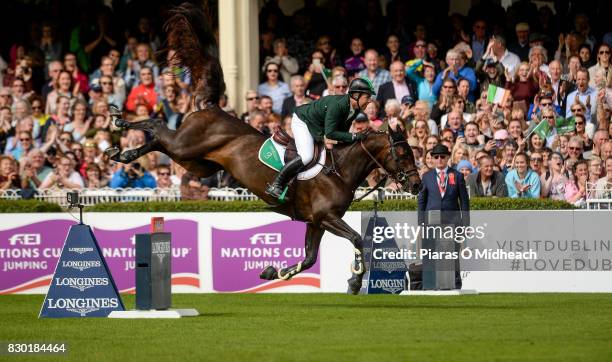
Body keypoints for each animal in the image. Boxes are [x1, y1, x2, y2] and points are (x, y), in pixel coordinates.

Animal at [104, 3, 420, 294]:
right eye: (404, 154)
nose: (417, 186)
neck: (340, 171)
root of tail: (212, 107)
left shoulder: (316, 222)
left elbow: (309, 258)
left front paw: (272, 272)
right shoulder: (327, 217)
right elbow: (355, 239)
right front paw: (354, 281)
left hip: (197, 163)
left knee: (159, 139)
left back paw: (123, 152)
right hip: (185, 147)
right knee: (158, 126)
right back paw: (119, 128)